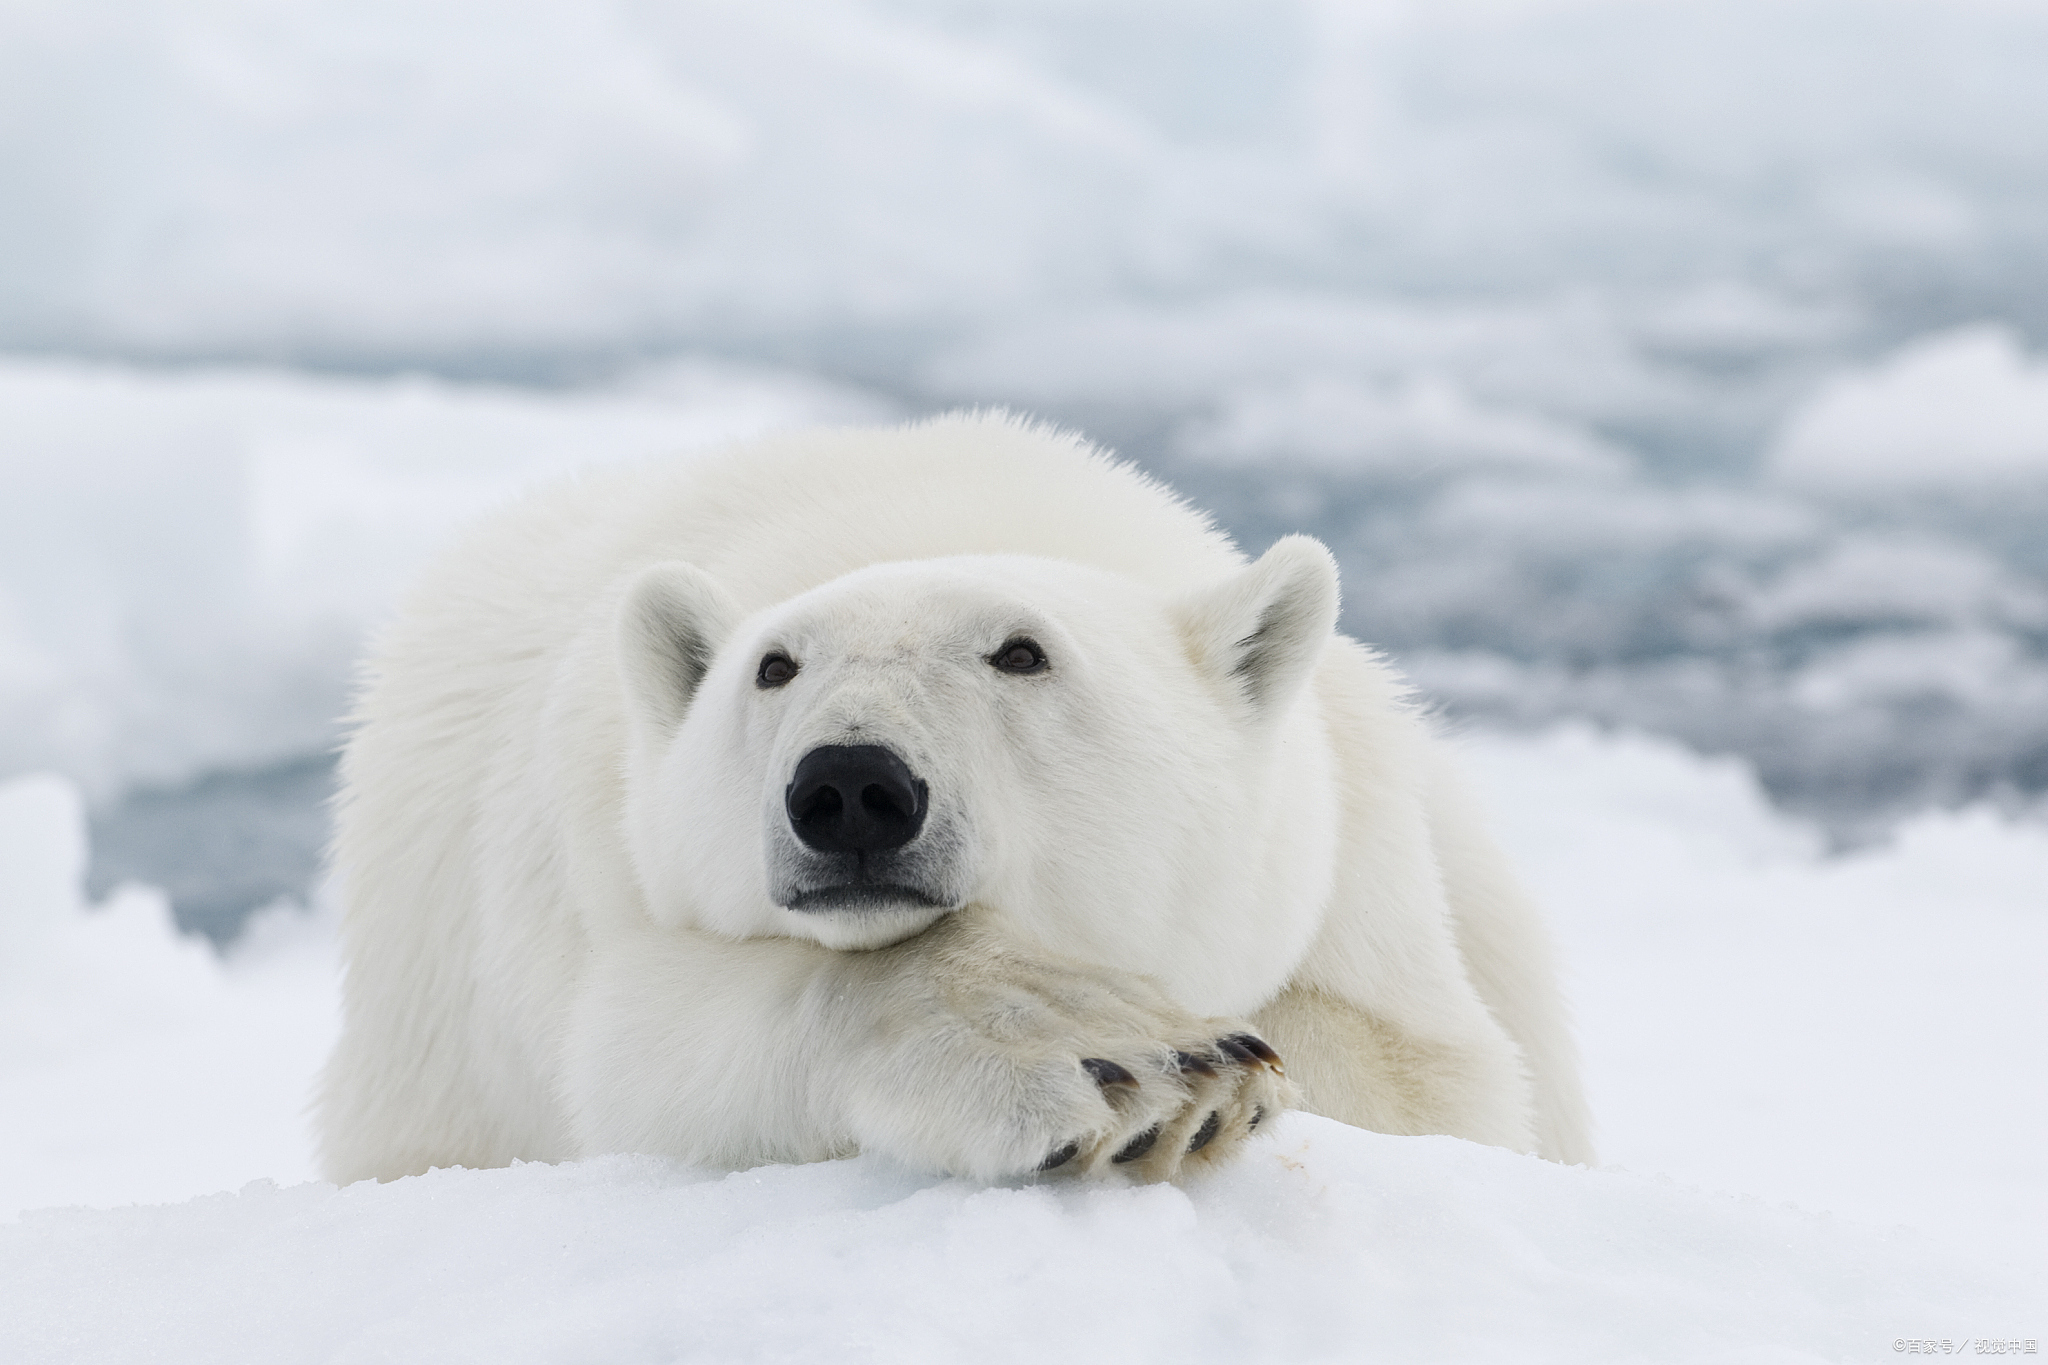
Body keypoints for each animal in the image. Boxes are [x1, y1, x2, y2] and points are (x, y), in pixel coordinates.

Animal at [323, 413, 1597, 1186]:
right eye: (772, 666)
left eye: (1020, 652)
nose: (849, 786)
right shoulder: (599, 876)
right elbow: (645, 1042)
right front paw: (1125, 1062)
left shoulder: (1357, 872)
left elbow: (1429, 1081)